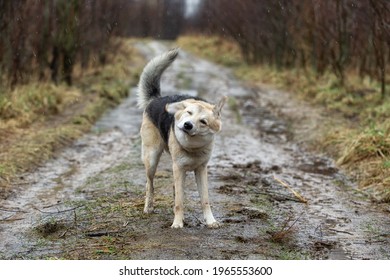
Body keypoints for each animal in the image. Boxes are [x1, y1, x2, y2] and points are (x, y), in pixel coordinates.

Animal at [137, 47, 227, 228]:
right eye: (189, 113)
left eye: (203, 121)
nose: (187, 125)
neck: (192, 147)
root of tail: (156, 99)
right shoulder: (179, 169)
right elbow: (179, 201)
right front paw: (177, 224)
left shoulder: (201, 170)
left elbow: (205, 199)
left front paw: (210, 221)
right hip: (152, 160)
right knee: (150, 184)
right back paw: (148, 207)